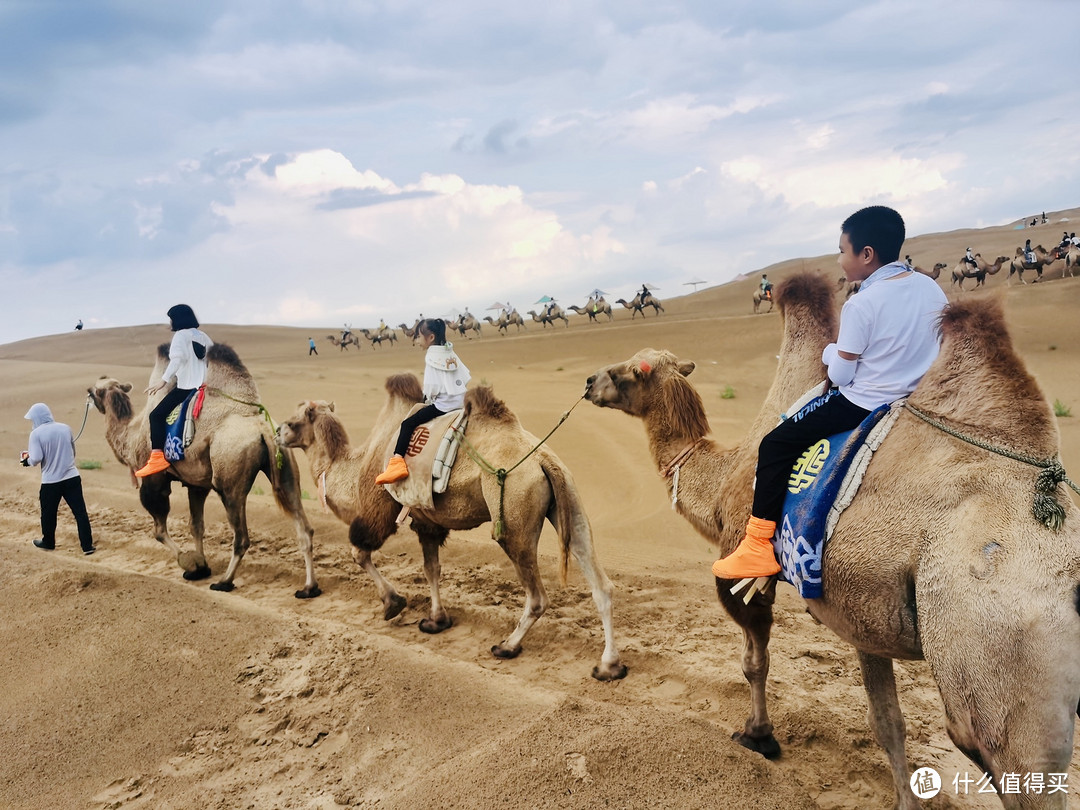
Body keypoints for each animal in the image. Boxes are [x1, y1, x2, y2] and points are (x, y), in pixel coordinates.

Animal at [88, 341, 315, 596]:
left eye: (92, 391)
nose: (90, 397)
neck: (131, 434)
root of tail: (261, 427)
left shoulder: (154, 479)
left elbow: (159, 530)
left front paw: (189, 564)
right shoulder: (196, 484)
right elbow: (196, 526)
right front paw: (202, 566)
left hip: (229, 480)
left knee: (241, 537)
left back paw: (225, 581)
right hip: (286, 468)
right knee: (304, 528)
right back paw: (309, 587)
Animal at [280, 384, 626, 682]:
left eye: (293, 422)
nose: (278, 432)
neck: (355, 467)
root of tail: (543, 459)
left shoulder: (378, 508)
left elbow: (360, 552)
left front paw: (393, 603)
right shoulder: (427, 522)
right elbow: (431, 568)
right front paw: (436, 620)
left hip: (514, 514)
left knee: (537, 594)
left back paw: (507, 646)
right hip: (569, 497)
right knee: (601, 583)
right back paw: (609, 666)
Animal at [587, 274, 1080, 810]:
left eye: (631, 370)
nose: (590, 382)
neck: (722, 478)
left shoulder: (740, 568)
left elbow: (754, 662)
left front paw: (759, 736)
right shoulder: (863, 610)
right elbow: (887, 722)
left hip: (996, 652)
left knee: (1004, 756)